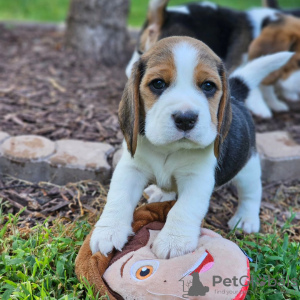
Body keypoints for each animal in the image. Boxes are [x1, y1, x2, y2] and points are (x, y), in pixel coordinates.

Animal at [89, 37, 292, 258]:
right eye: (158, 83)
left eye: (208, 86)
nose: (185, 119)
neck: (169, 149)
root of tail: (236, 98)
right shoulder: (131, 168)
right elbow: (119, 198)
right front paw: (108, 231)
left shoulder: (197, 179)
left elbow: (184, 209)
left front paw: (174, 241)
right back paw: (161, 193)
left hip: (248, 166)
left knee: (251, 192)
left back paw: (246, 219)